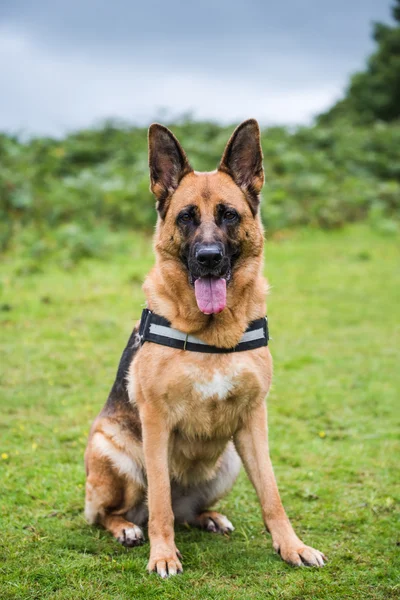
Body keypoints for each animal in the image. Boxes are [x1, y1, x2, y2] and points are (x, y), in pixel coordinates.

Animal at [83, 120, 324, 576]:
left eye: (229, 215)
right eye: (186, 217)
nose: (209, 258)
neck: (213, 335)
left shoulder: (254, 419)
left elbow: (272, 494)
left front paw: (292, 546)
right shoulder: (156, 422)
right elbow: (159, 498)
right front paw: (162, 555)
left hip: (229, 461)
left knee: (184, 512)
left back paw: (208, 517)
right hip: (114, 453)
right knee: (120, 512)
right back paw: (127, 528)